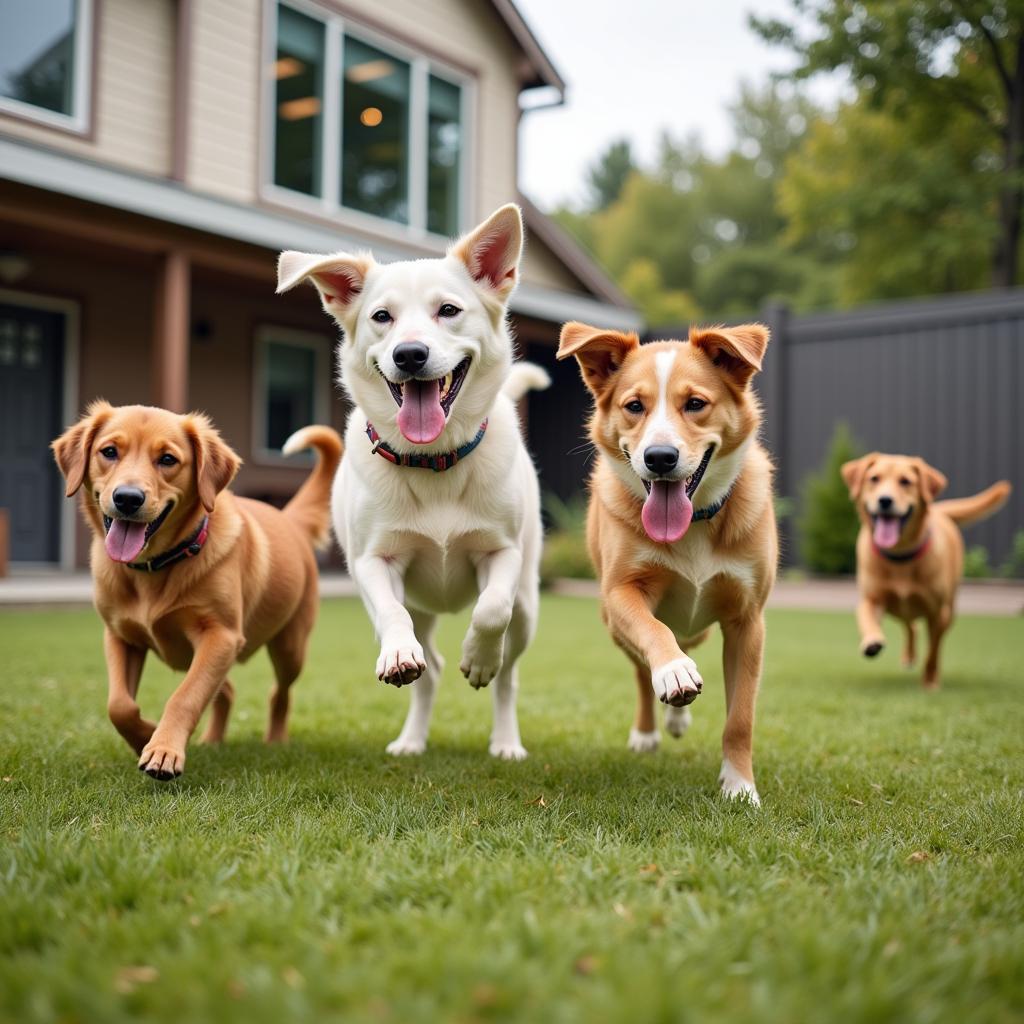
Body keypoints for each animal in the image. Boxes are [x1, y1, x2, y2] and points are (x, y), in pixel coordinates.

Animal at [51, 403, 342, 778]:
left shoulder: (221, 636)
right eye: (109, 452)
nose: (127, 499)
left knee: (279, 693)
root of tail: (288, 518)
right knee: (226, 691)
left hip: (289, 647)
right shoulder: (120, 636)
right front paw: (145, 734)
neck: (157, 566)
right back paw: (212, 741)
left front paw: (162, 748)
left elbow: (185, 696)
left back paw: (275, 740)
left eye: (167, 459)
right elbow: (119, 705)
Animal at [276, 203, 548, 757]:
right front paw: (400, 655)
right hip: (420, 605)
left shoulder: (503, 553)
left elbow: (491, 610)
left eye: (448, 310)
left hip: (529, 606)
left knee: (509, 674)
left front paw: (478, 657)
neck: (433, 462)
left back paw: (505, 738)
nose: (410, 355)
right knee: (431, 667)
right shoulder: (373, 563)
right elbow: (392, 615)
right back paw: (412, 738)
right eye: (382, 317)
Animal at [561, 323, 774, 802]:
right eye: (634, 406)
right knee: (643, 668)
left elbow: (741, 719)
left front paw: (740, 787)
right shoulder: (622, 592)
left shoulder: (748, 620)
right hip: (612, 623)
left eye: (695, 403)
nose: (659, 458)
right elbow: (654, 633)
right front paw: (673, 672)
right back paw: (651, 726)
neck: (693, 523)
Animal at [839, 454, 1007, 688]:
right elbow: (867, 618)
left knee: (931, 635)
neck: (900, 557)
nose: (885, 500)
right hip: (900, 610)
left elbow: (933, 650)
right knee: (911, 626)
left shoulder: (936, 613)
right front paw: (872, 641)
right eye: (874, 478)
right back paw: (908, 656)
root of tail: (939, 510)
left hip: (949, 608)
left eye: (905, 482)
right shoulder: (872, 599)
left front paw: (930, 680)